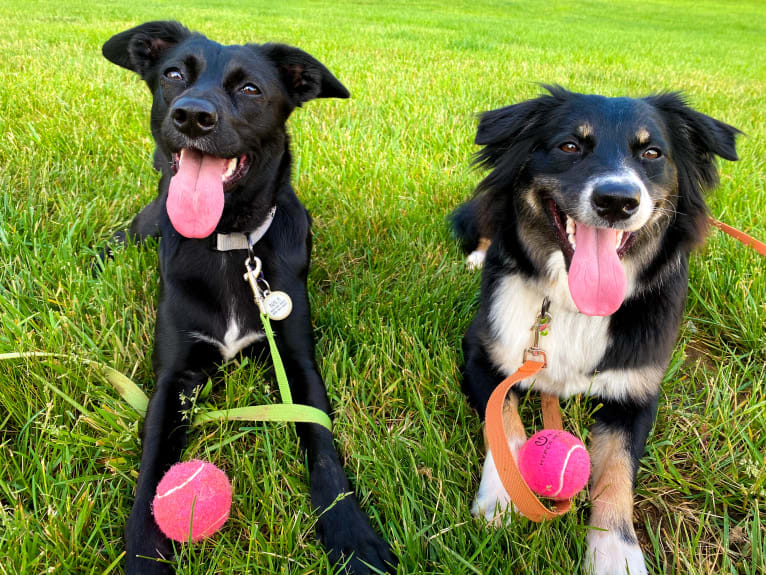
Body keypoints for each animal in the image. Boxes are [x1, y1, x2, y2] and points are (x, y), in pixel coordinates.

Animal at [100, 20, 396, 572]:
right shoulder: (175, 376)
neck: (231, 242)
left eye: (251, 89)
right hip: (144, 224)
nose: (192, 116)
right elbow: (153, 468)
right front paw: (146, 549)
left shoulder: (298, 362)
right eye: (174, 74)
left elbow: (324, 447)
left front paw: (350, 534)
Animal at [452, 86, 740, 575]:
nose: (617, 200)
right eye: (570, 146)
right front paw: (507, 493)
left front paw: (615, 554)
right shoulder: (482, 353)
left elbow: (617, 474)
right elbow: (503, 421)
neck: (573, 304)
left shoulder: (638, 394)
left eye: (651, 153)